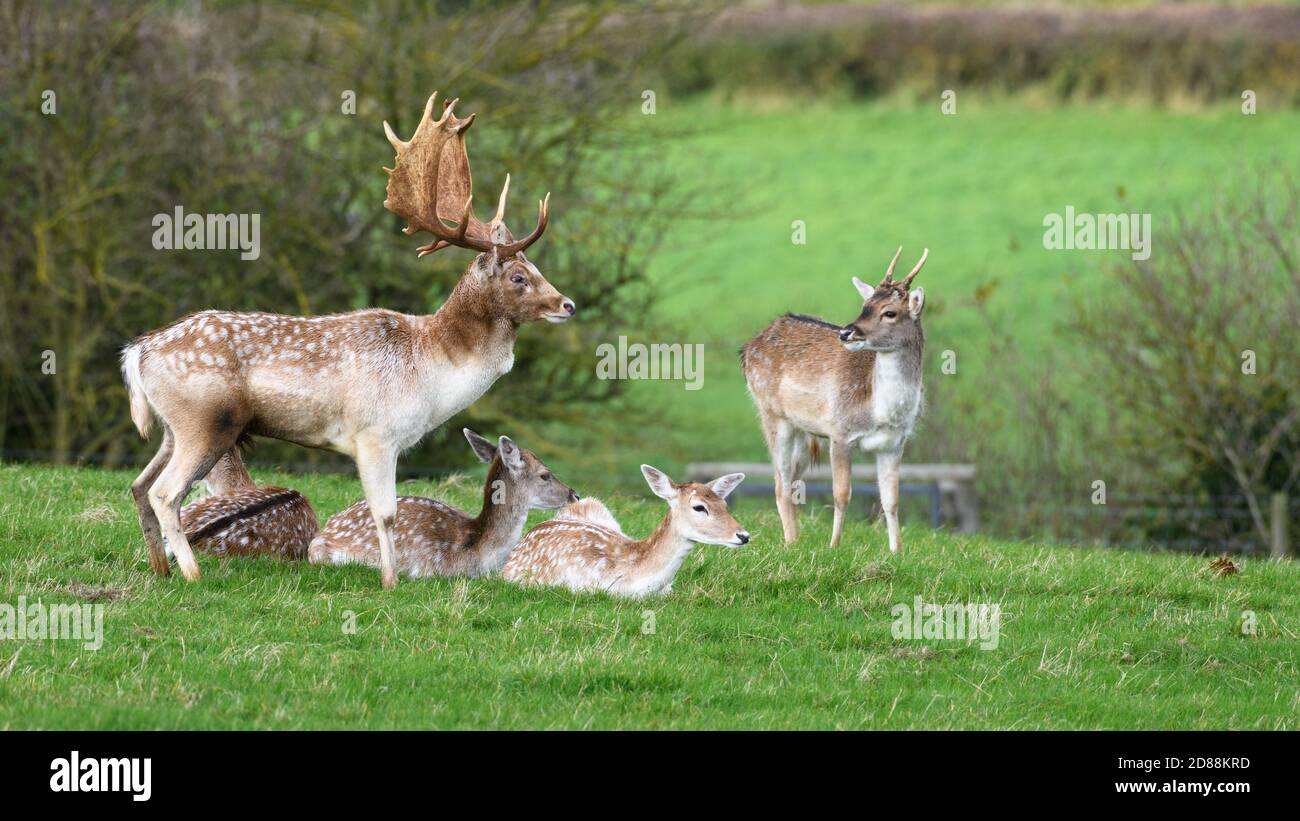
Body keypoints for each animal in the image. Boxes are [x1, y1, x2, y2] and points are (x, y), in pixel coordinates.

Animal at [740, 247, 928, 553]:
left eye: (889, 312)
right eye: (865, 306)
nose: (846, 332)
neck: (879, 411)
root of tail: (747, 349)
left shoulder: (895, 443)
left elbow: (891, 500)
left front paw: (897, 551)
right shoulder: (839, 432)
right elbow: (841, 494)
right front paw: (834, 546)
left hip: (804, 432)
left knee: (793, 481)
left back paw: (797, 540)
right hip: (771, 414)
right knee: (780, 482)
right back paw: (790, 542)